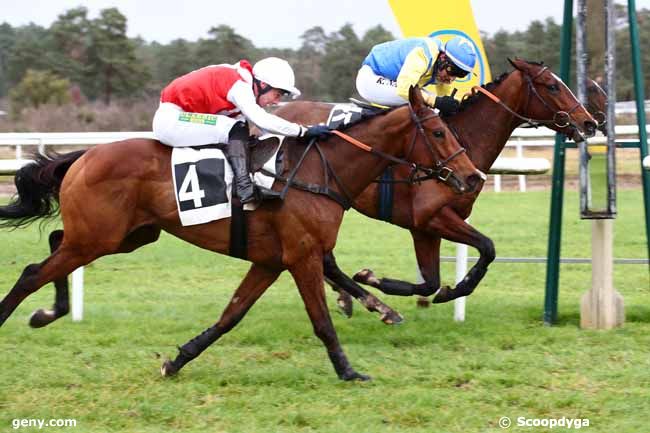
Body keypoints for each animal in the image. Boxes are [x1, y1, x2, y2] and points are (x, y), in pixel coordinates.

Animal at [0, 86, 480, 380]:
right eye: (439, 131)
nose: (473, 176)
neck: (316, 171)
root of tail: (83, 156)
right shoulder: (301, 256)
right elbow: (321, 321)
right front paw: (349, 371)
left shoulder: (270, 260)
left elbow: (231, 315)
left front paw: (177, 361)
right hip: (99, 237)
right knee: (32, 272)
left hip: (125, 236)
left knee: (52, 247)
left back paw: (49, 311)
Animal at [270, 58, 596, 318]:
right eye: (552, 86)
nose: (589, 122)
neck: (462, 141)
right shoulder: (431, 217)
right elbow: (487, 248)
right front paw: (377, 280)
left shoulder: (425, 228)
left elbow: (431, 281)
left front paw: (382, 282)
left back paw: (343, 295)